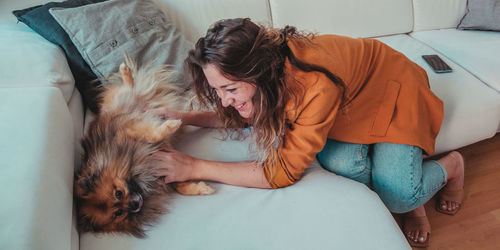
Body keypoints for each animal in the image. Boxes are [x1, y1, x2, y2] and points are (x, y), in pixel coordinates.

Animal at [75, 57, 213, 238]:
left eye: (118, 193)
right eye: (118, 213)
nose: (135, 204)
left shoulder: (130, 131)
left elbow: (151, 134)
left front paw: (171, 125)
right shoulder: (165, 171)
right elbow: (180, 186)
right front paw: (200, 188)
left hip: (120, 98)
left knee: (129, 87)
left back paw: (126, 72)